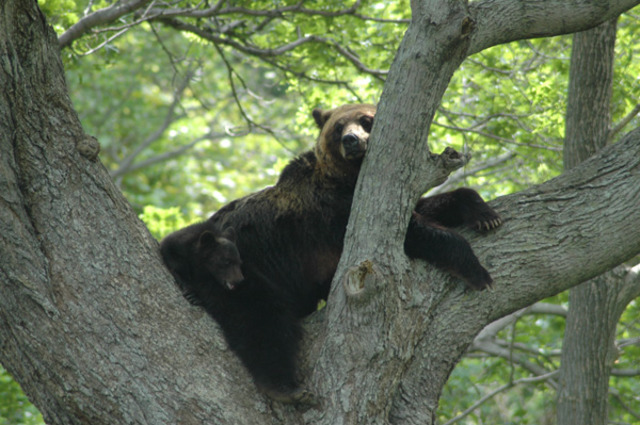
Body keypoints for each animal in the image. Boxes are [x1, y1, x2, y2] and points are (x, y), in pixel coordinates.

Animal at [160, 102, 500, 400]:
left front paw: (484, 214)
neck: (351, 179)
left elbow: (431, 207)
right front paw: (477, 270)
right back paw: (284, 387)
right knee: (260, 318)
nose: (351, 140)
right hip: (238, 271)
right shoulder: (332, 216)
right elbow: (414, 233)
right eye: (338, 128)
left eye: (365, 120)